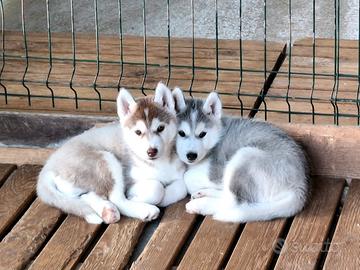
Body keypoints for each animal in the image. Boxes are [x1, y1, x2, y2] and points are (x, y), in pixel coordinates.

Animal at [37, 83, 187, 225]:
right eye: (138, 132)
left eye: (160, 128)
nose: (151, 151)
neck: (158, 163)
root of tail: (50, 165)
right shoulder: (129, 178)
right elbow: (157, 188)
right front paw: (136, 196)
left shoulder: (179, 173)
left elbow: (182, 187)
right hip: (107, 160)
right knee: (116, 199)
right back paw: (144, 210)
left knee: (86, 195)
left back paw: (107, 211)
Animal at [172, 87, 310, 223]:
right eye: (181, 133)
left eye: (202, 134)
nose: (191, 155)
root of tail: (299, 187)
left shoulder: (217, 170)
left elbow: (188, 176)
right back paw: (204, 193)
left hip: (244, 157)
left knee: (233, 201)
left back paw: (199, 205)